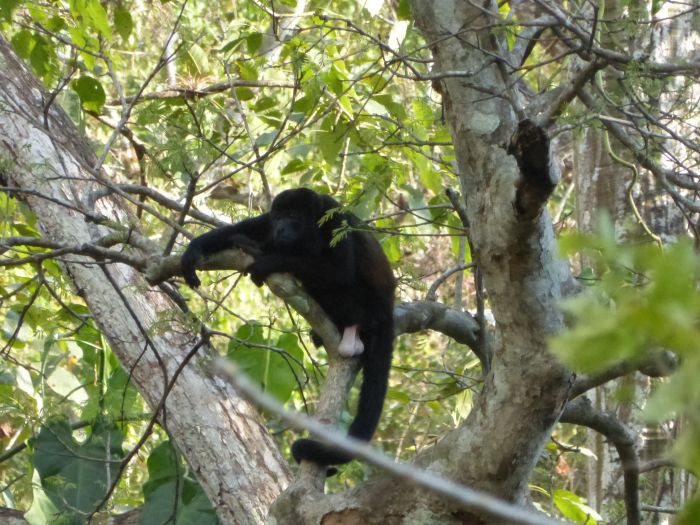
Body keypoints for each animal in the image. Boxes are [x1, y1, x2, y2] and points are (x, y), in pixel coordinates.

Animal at [180, 188, 396, 466]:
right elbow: (243, 227)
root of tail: (387, 308)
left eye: (292, 216)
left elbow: (340, 272)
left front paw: (267, 261)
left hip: (365, 305)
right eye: (279, 216)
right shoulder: (269, 221)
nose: (281, 227)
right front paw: (194, 249)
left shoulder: (334, 219)